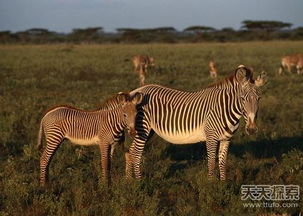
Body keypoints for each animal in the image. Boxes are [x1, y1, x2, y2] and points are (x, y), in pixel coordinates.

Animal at [125, 65, 266, 180]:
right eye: (242, 99)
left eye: (259, 98)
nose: (252, 129)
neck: (225, 108)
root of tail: (136, 90)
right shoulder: (211, 137)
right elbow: (211, 163)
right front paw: (212, 187)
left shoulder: (226, 138)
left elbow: (222, 162)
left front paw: (223, 185)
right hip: (143, 128)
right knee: (136, 153)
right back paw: (139, 183)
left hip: (148, 131)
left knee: (130, 151)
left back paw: (129, 182)